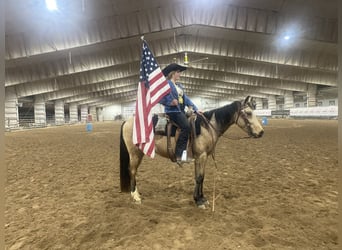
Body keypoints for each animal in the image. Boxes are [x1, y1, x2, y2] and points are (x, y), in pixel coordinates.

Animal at [119, 96, 264, 209]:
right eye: (249, 113)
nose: (261, 132)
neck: (207, 127)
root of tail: (127, 121)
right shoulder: (201, 156)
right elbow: (199, 177)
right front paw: (198, 201)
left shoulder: (201, 157)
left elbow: (200, 177)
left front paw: (202, 198)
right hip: (135, 153)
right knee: (132, 170)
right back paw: (135, 196)